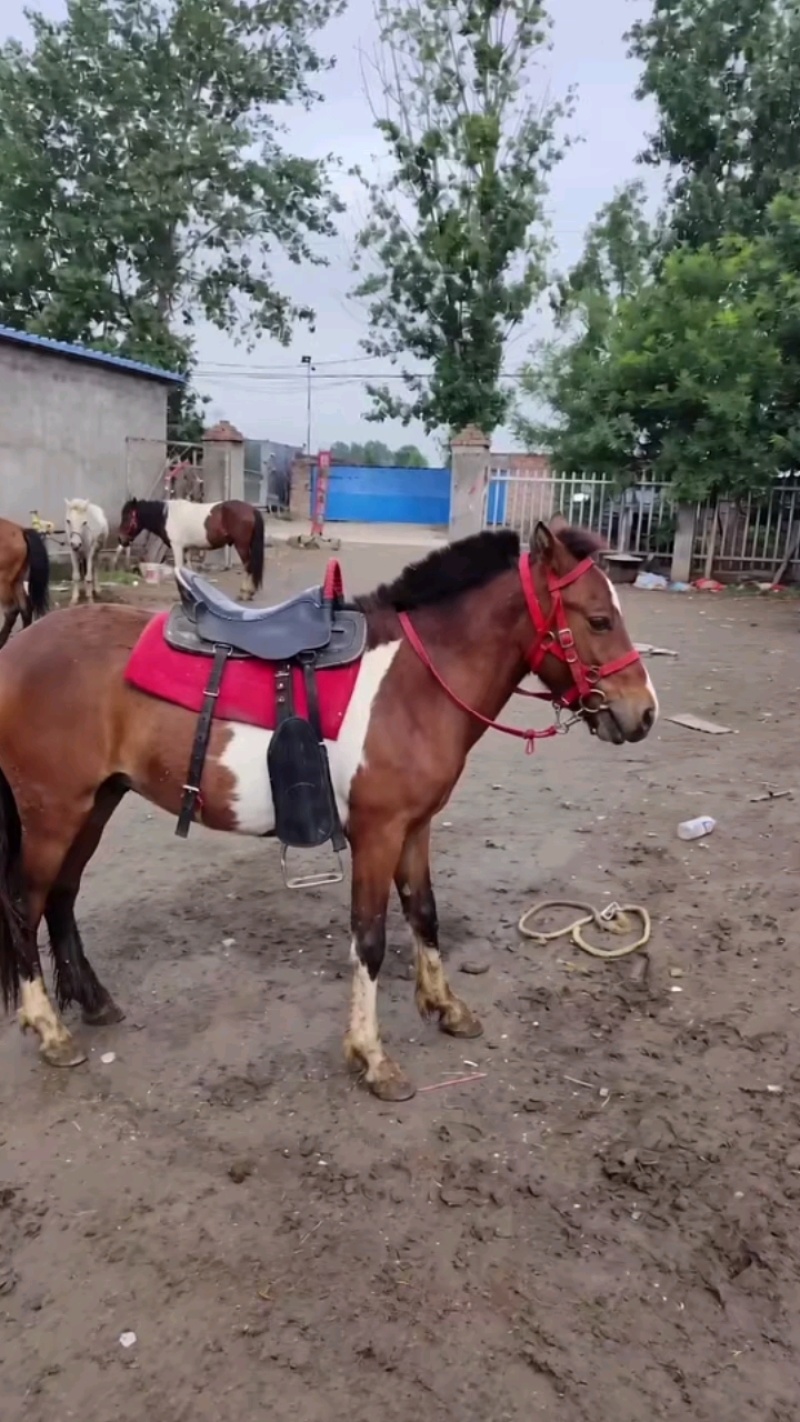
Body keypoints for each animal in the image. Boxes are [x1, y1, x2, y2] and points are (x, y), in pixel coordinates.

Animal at [118, 497, 265, 601]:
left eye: (127, 517)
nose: (121, 539)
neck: (166, 516)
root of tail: (251, 509)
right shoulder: (186, 548)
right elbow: (187, 569)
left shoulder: (177, 547)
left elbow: (178, 569)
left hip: (241, 545)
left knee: (248, 566)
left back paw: (245, 593)